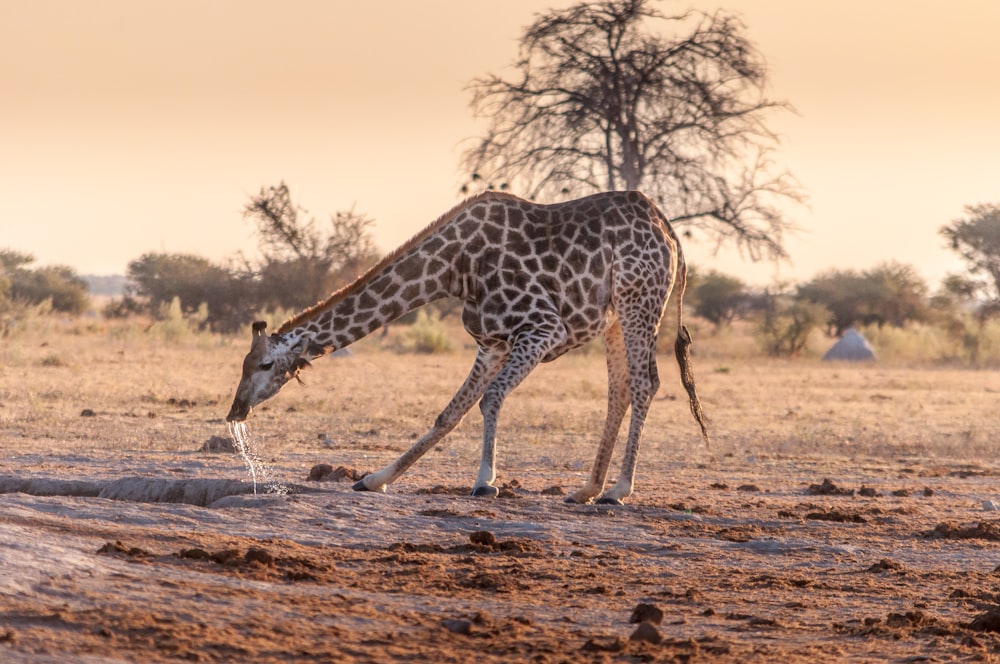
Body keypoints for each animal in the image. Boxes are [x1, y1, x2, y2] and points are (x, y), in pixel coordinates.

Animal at [227, 191, 712, 504]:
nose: (235, 411)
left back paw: (618, 490)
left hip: (638, 299)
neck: (454, 269)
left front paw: (485, 482)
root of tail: (669, 232)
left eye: (265, 365)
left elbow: (490, 399)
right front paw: (375, 479)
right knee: (621, 389)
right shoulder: (491, 342)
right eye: (243, 363)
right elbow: (449, 413)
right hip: (614, 315)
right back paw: (587, 489)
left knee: (647, 383)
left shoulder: (543, 328)